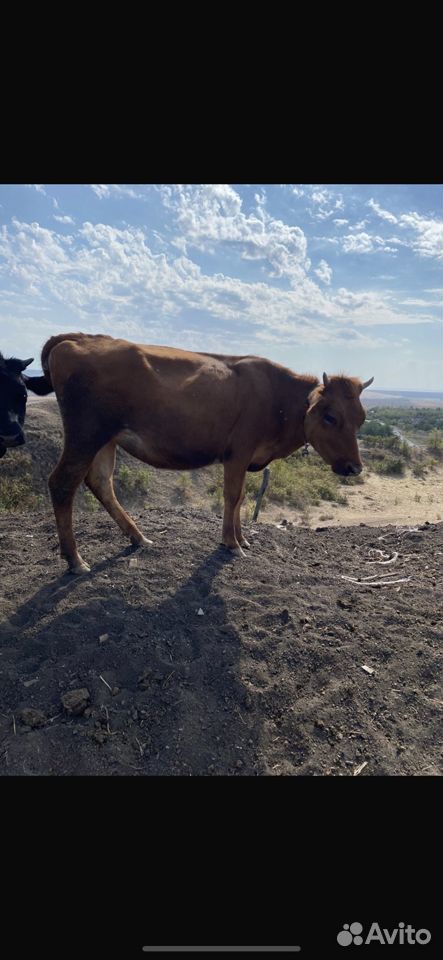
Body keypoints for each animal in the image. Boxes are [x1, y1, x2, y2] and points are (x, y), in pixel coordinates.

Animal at [25, 332, 374, 568]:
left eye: (361, 418)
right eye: (331, 417)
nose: (354, 467)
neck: (280, 399)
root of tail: (80, 338)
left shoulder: (244, 458)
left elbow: (241, 497)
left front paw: (242, 538)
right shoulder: (238, 452)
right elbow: (232, 496)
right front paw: (231, 543)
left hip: (105, 440)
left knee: (100, 483)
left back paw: (138, 537)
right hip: (85, 435)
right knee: (62, 483)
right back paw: (75, 560)